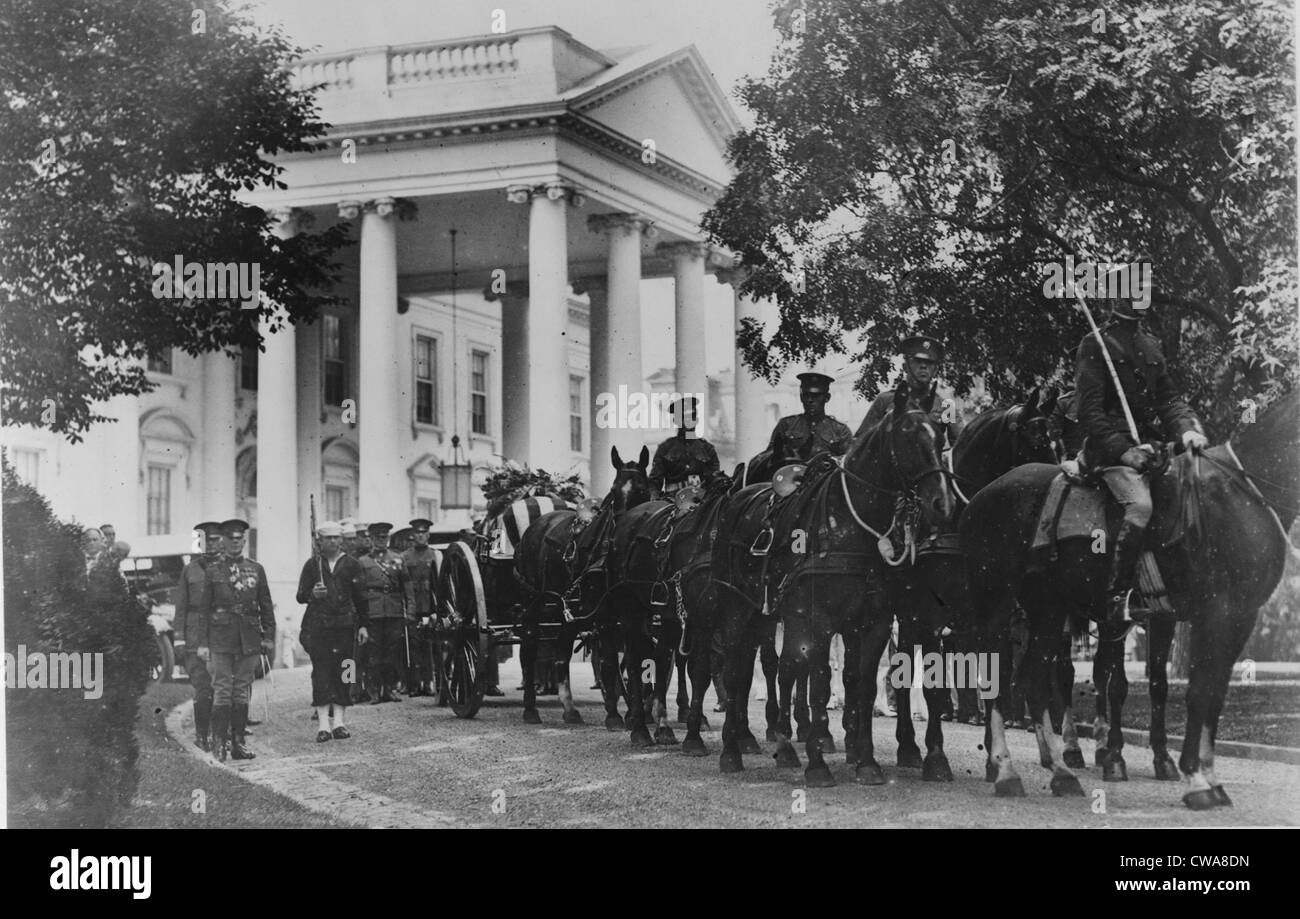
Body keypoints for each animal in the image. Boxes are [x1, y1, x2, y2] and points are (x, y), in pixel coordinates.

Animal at [506, 444, 650, 727]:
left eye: (641, 489)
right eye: (614, 489)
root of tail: (535, 526)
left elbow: (631, 661)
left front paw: (630, 711)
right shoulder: (605, 617)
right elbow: (609, 663)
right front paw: (614, 714)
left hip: (566, 612)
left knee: (561, 654)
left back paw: (569, 708)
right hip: (532, 606)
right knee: (528, 650)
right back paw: (530, 708)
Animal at [707, 384, 951, 785]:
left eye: (941, 434)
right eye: (907, 436)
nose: (941, 503)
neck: (847, 526)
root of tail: (737, 498)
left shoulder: (873, 624)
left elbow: (862, 684)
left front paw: (866, 760)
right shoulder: (819, 621)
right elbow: (820, 683)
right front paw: (819, 764)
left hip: (768, 618)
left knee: (780, 670)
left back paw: (783, 745)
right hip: (737, 612)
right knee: (736, 671)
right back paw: (732, 749)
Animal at [961, 397, 1294, 811]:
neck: (1240, 493)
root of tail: (983, 495)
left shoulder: (1233, 618)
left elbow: (1204, 692)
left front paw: (1199, 775)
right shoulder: (1215, 613)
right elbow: (1193, 691)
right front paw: (1194, 779)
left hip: (1048, 610)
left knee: (1033, 679)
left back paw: (1061, 773)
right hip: (996, 606)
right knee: (998, 681)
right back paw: (1007, 770)